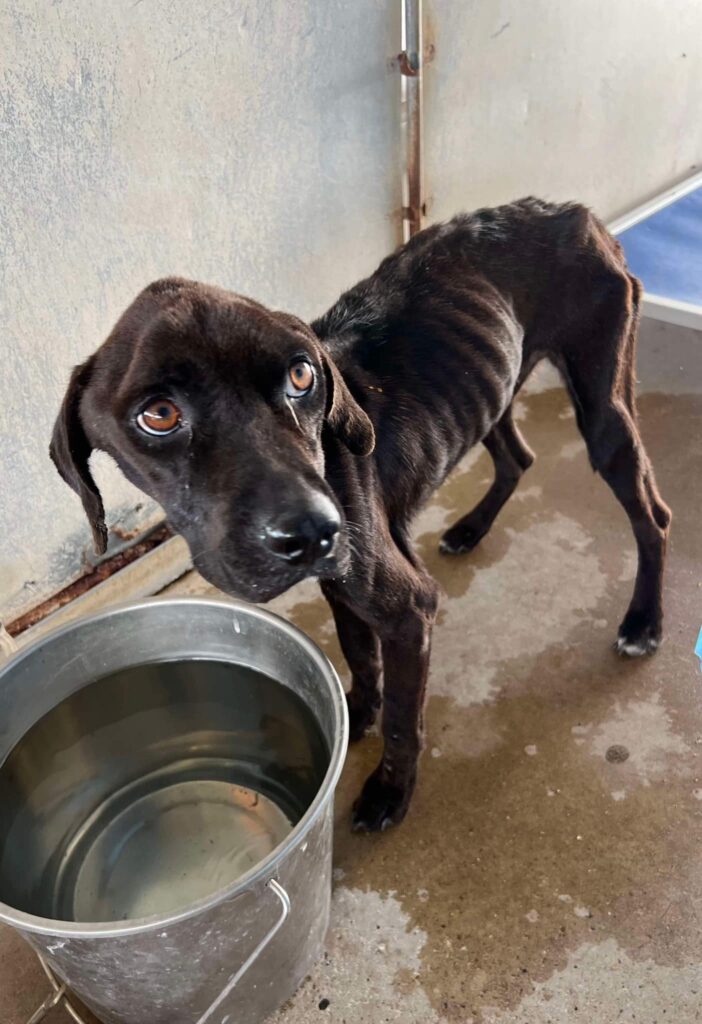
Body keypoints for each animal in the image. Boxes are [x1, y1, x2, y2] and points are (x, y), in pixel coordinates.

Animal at [52, 199, 675, 831]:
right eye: (158, 415)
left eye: (302, 375)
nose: (314, 532)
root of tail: (576, 211)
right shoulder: (341, 586)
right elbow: (358, 654)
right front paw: (355, 717)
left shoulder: (409, 609)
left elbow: (402, 720)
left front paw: (389, 791)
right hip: (499, 385)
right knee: (517, 458)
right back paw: (470, 529)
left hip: (604, 411)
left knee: (654, 516)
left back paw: (643, 623)